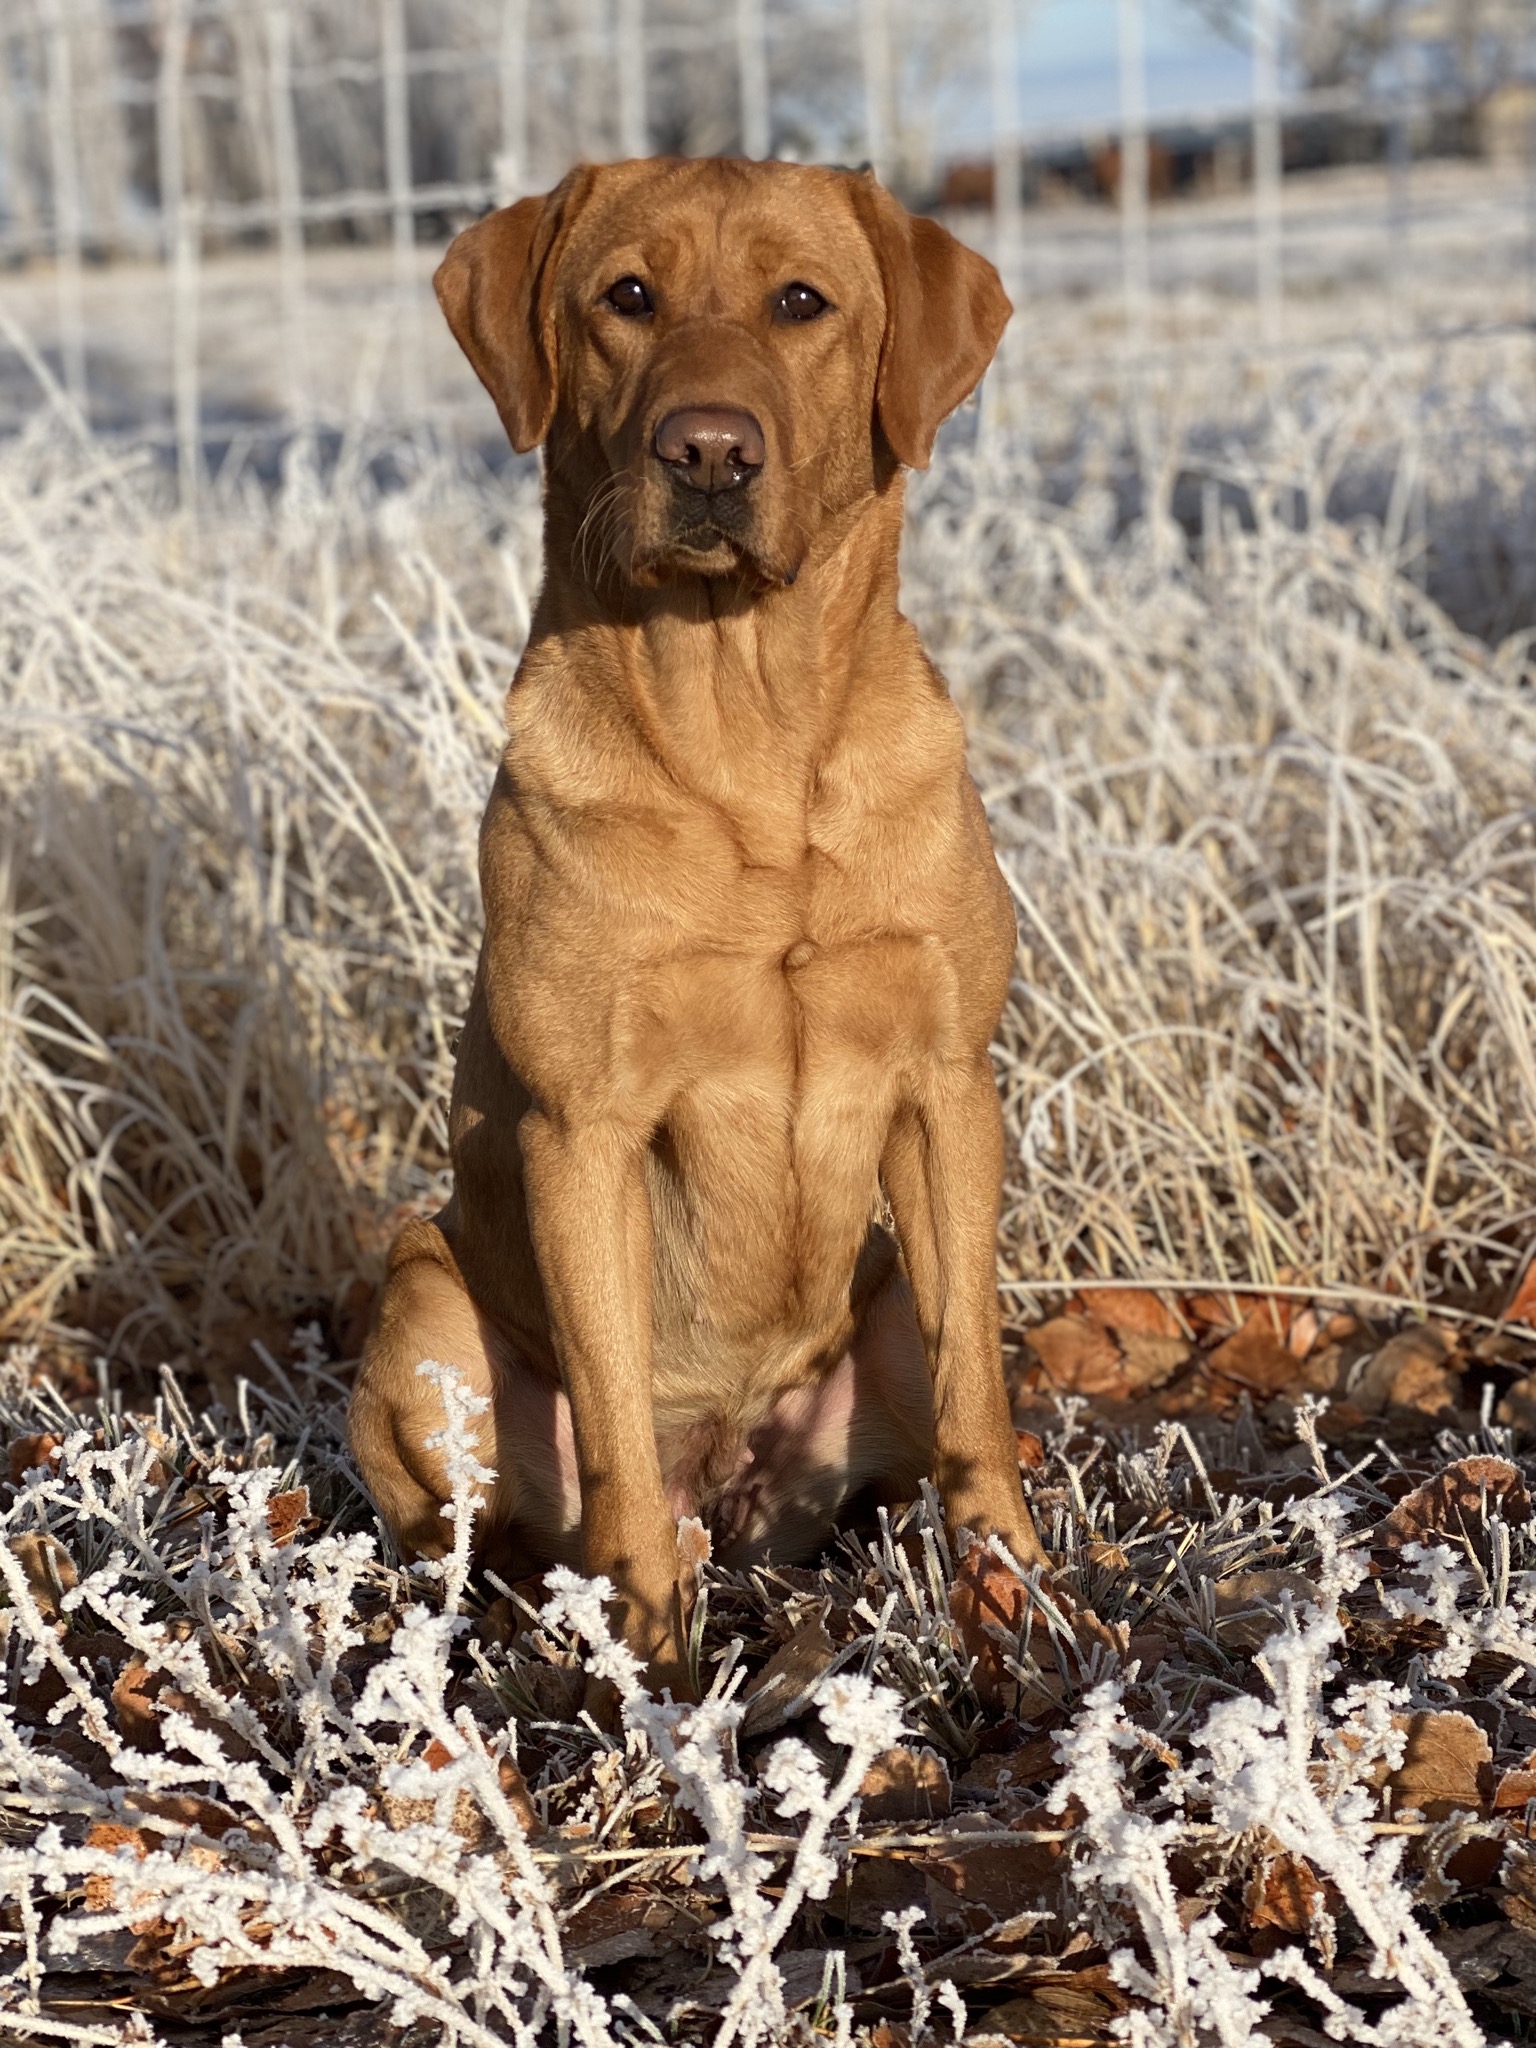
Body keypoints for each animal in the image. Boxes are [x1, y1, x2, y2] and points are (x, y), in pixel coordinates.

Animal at [348, 155, 1048, 1695]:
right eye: (627, 297)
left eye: (802, 302)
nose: (710, 452)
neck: (751, 740)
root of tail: (729, 1473)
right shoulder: (583, 1132)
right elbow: (612, 1434)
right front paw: (660, 1690)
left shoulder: (946, 1086)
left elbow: (984, 1408)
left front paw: (1023, 1615)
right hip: (421, 1305)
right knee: (497, 1531)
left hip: (885, 1301)